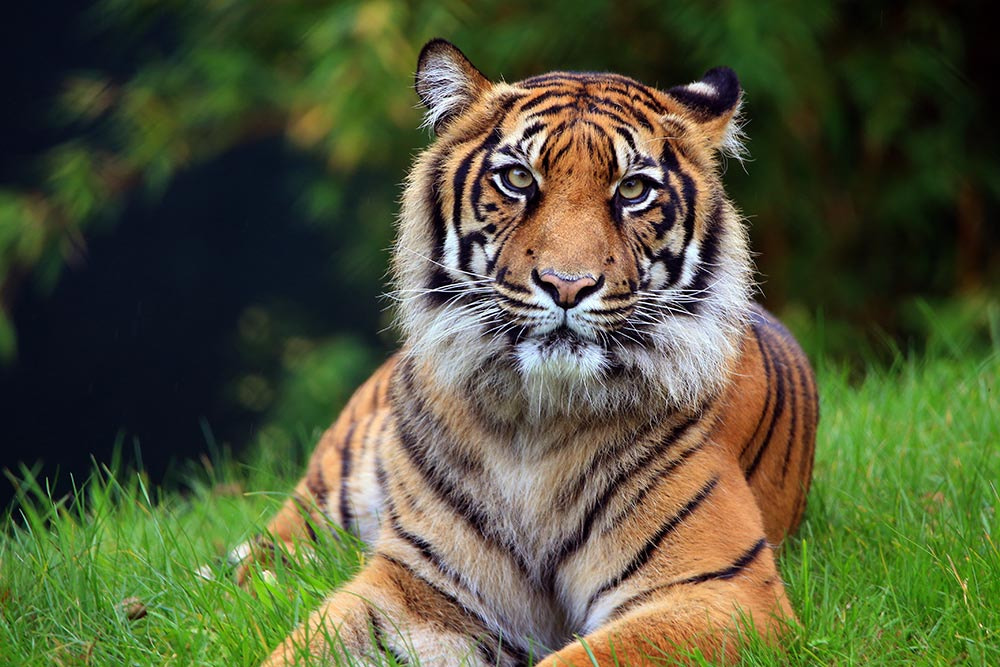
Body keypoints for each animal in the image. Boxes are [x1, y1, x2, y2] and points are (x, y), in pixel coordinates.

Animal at [234, 39, 818, 666]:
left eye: (633, 190)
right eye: (517, 178)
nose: (567, 285)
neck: (534, 423)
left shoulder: (720, 590)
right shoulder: (417, 584)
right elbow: (301, 646)